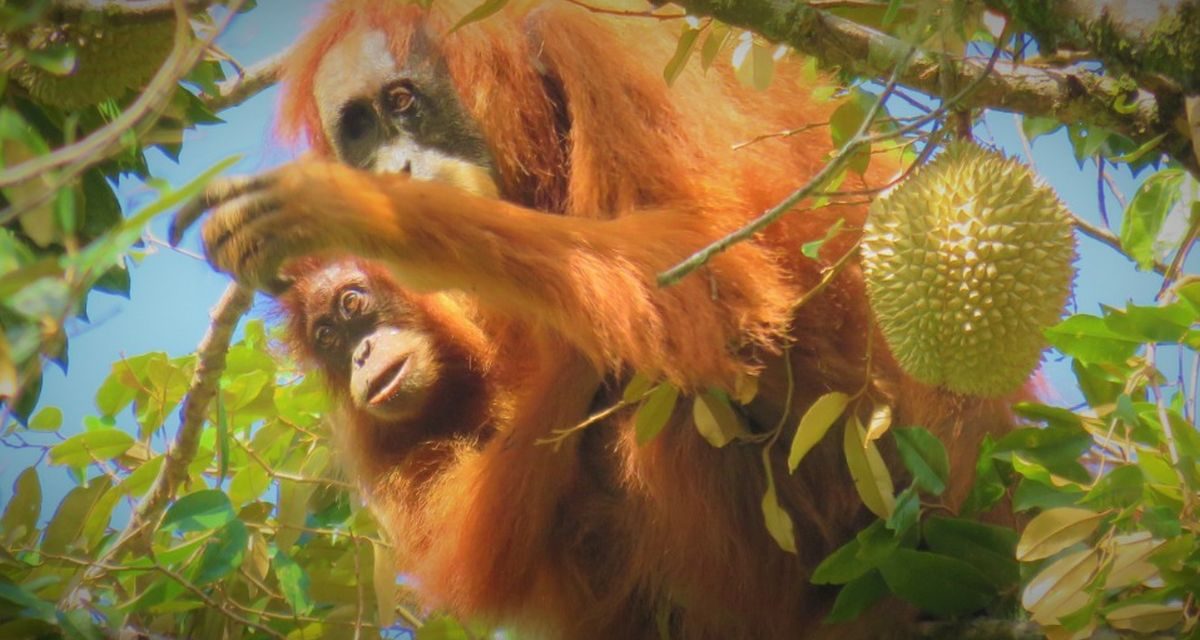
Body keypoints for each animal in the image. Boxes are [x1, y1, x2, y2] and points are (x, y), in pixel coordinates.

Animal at [171, 1, 1023, 637]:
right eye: (358, 132)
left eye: (401, 103)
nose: (393, 168)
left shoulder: (596, 46)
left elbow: (716, 275)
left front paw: (366, 211)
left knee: (677, 383)